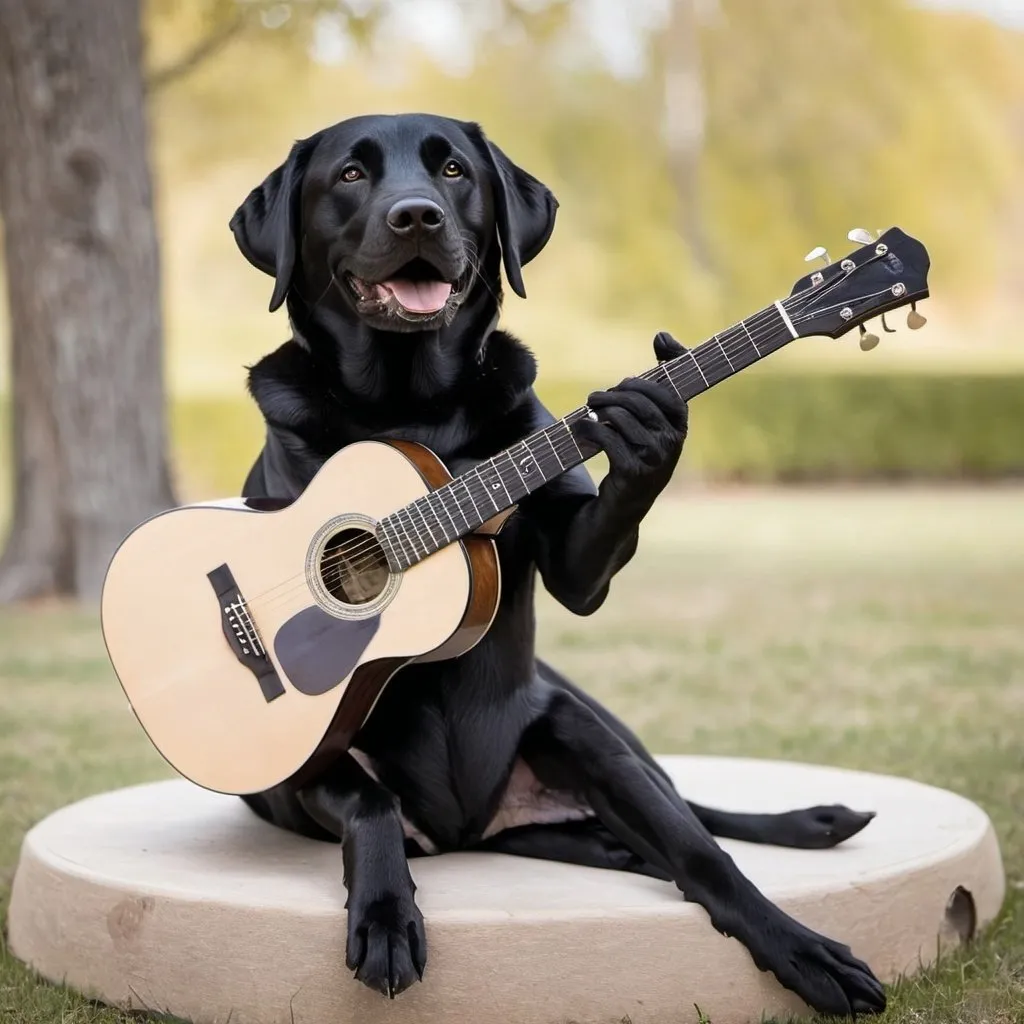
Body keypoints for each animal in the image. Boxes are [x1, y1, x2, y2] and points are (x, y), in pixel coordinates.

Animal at [228, 110, 884, 1015]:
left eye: (456, 172)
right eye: (352, 175)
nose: (417, 215)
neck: (408, 402)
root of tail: (472, 829)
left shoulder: (574, 550)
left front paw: (647, 424)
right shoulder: (313, 763)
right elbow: (369, 805)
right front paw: (387, 921)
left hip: (582, 726)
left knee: (698, 839)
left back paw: (799, 932)